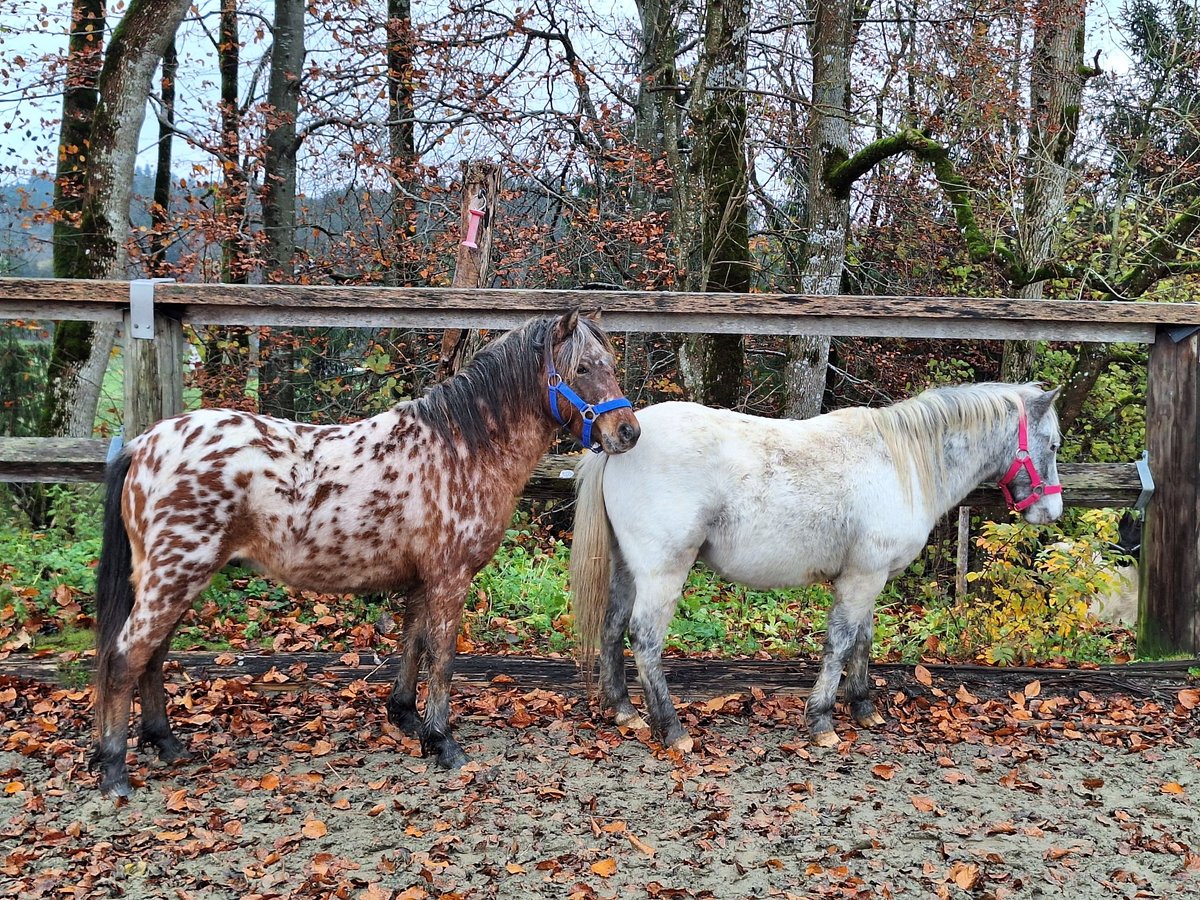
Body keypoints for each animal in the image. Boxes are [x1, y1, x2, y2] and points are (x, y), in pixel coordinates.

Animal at [90, 309, 643, 796]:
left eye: (610, 362)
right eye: (582, 368)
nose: (628, 432)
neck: (460, 450)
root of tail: (145, 444)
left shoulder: (423, 579)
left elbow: (413, 645)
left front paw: (407, 718)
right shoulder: (451, 577)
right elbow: (442, 657)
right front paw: (444, 743)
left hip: (174, 580)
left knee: (152, 656)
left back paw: (165, 743)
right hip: (176, 576)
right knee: (126, 657)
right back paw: (115, 772)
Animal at [568, 384, 1060, 748]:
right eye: (1052, 444)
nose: (1051, 512)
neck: (900, 462)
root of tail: (620, 441)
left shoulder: (868, 579)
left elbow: (862, 640)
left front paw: (863, 709)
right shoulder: (862, 578)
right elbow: (840, 644)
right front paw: (821, 720)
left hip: (627, 567)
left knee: (612, 627)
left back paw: (624, 712)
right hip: (662, 572)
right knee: (645, 639)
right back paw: (671, 729)